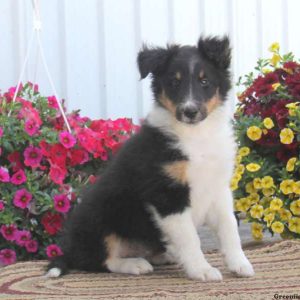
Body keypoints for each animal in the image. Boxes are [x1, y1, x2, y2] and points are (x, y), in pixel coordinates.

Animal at [46, 36, 253, 280]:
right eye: (174, 83)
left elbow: (229, 227)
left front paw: (240, 264)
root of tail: (69, 250)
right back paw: (135, 264)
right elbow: (190, 238)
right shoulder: (167, 195)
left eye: (204, 81)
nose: (189, 111)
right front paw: (201, 270)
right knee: (99, 259)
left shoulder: (218, 188)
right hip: (100, 217)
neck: (196, 135)